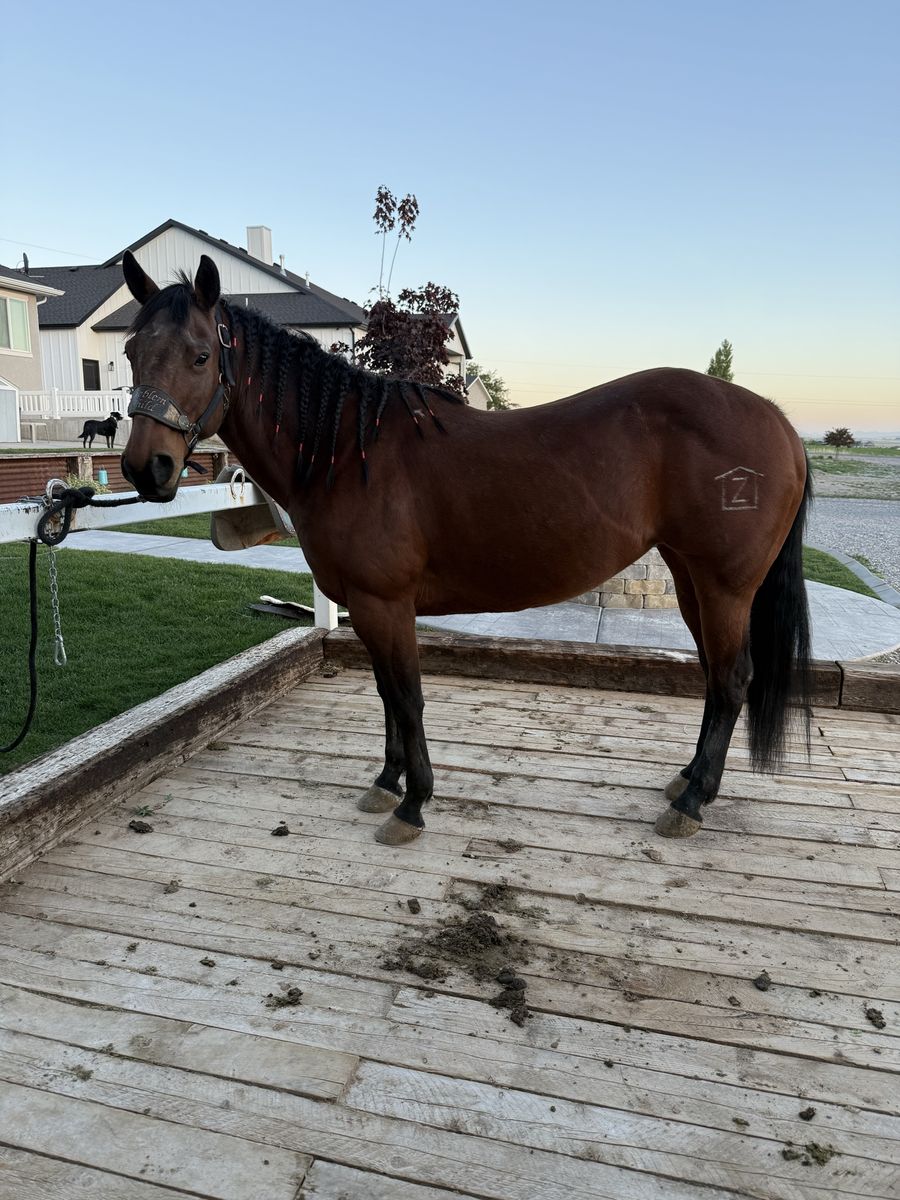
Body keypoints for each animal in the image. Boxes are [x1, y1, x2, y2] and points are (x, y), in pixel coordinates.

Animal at [119, 251, 811, 845]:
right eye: (129, 351)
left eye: (201, 356)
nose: (147, 469)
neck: (347, 454)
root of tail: (778, 421)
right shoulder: (367, 608)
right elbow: (385, 693)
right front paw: (386, 781)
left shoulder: (385, 604)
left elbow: (407, 696)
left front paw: (413, 804)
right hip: (691, 577)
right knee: (716, 677)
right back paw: (686, 782)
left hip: (725, 586)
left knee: (732, 680)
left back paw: (693, 803)